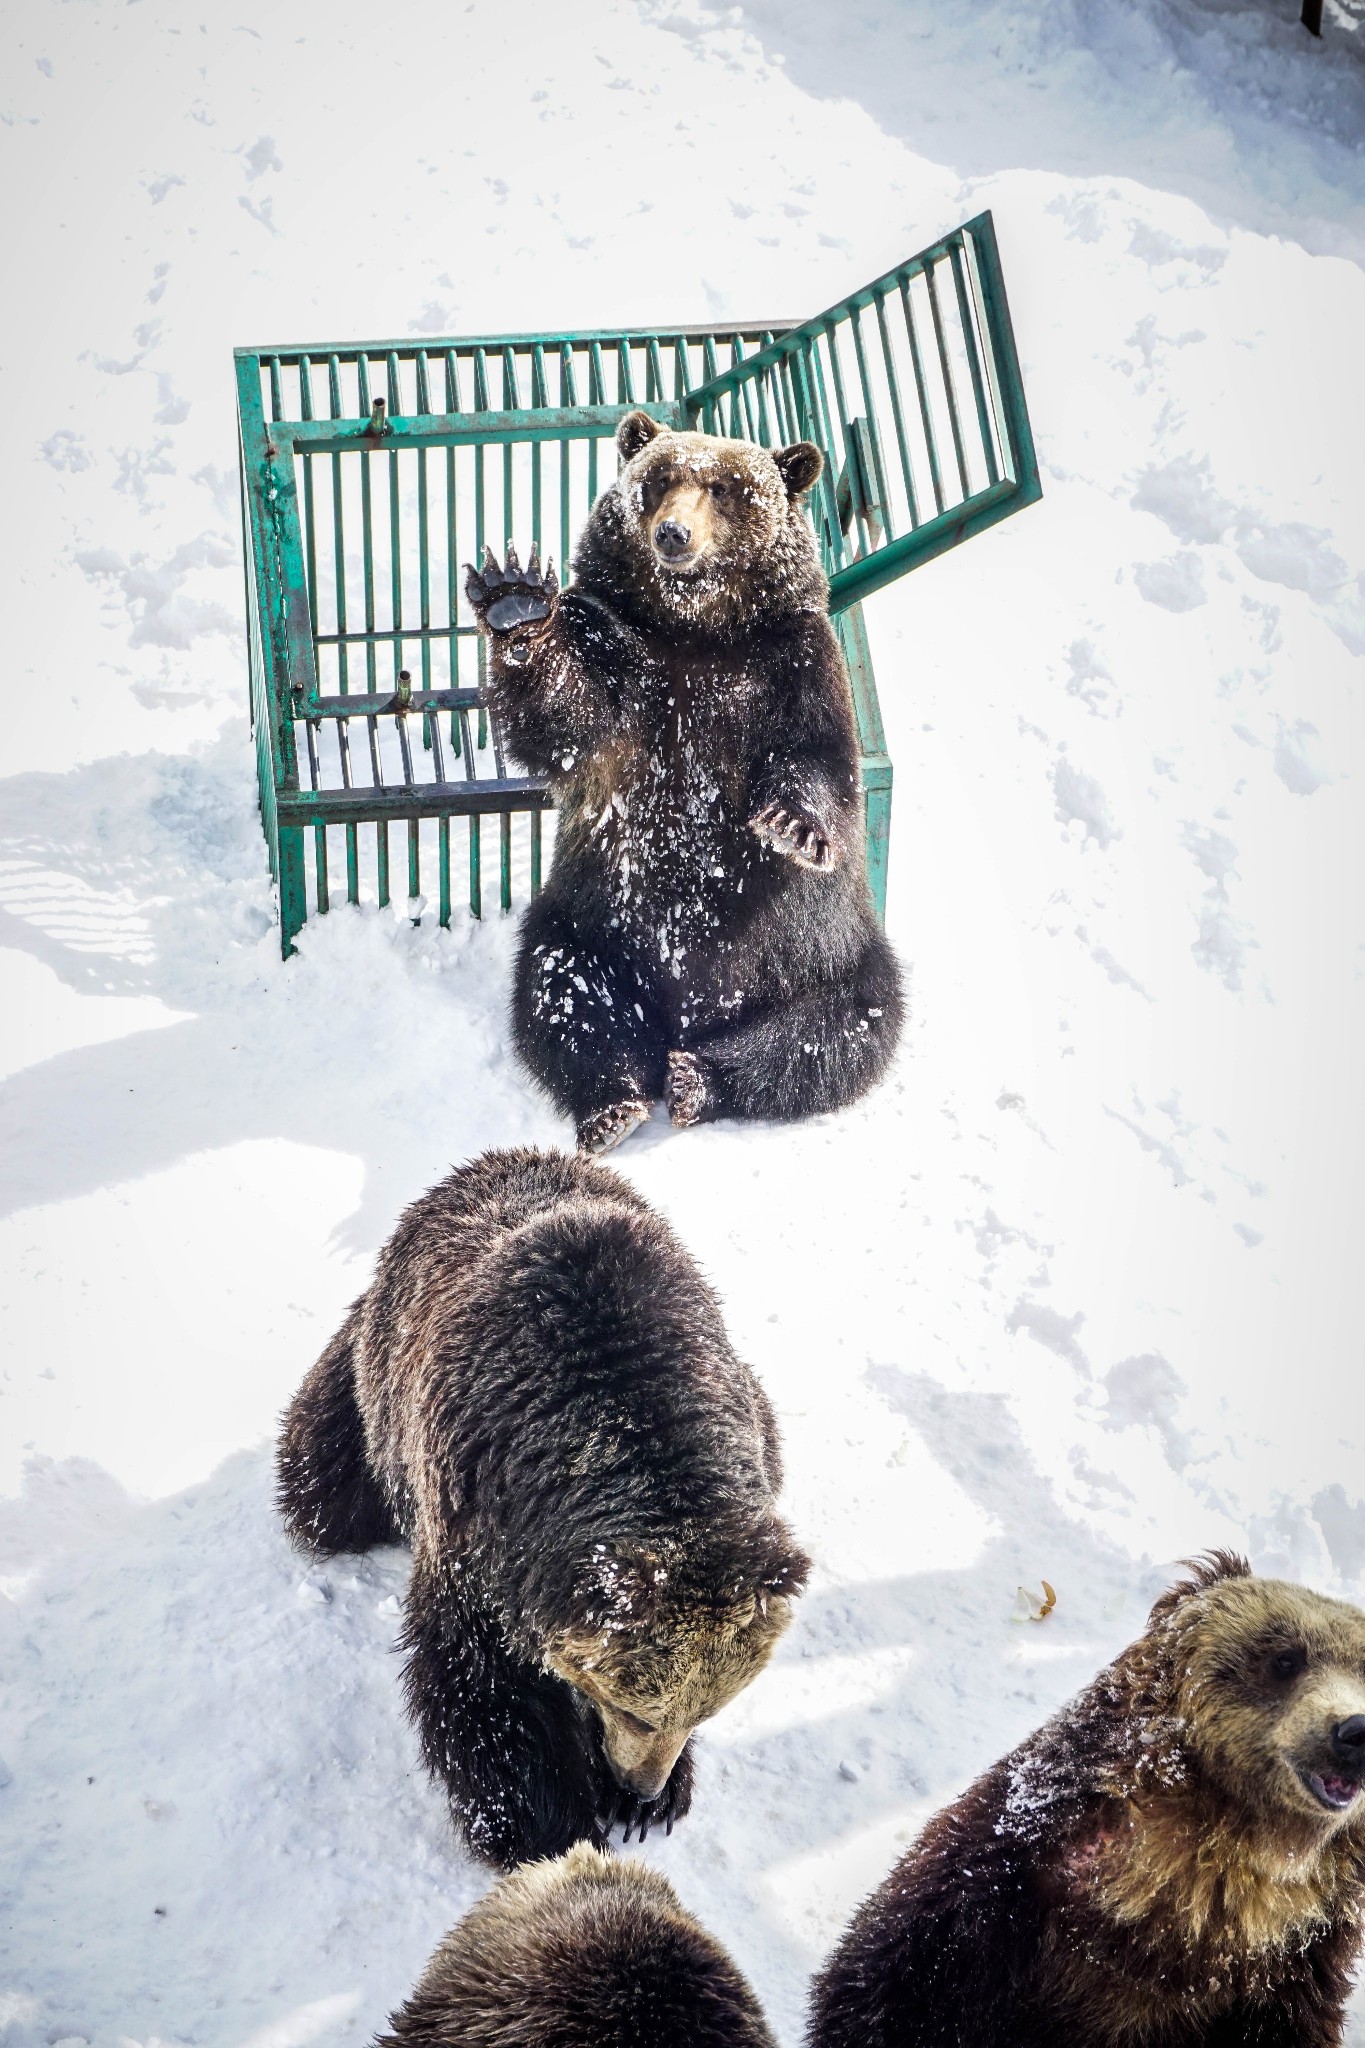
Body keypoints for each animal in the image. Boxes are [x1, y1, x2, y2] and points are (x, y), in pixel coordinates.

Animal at [278, 1155, 810, 1875]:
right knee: (323, 1481)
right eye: (636, 1711)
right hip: (374, 1389)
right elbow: (488, 1697)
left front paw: (651, 1800)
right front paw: (551, 1827)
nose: (641, 1784)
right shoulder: (480, 1529)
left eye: (700, 1716)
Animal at [464, 407, 900, 1163]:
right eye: (660, 479)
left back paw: (701, 1078)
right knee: (563, 998)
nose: (674, 533)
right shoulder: (622, 657)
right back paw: (615, 1103)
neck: (698, 629)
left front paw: (792, 826)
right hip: (589, 924)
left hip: (825, 956)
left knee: (833, 1034)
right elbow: (564, 716)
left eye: (726, 489)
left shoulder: (792, 663)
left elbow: (814, 757)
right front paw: (514, 600)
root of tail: (682, 1019)